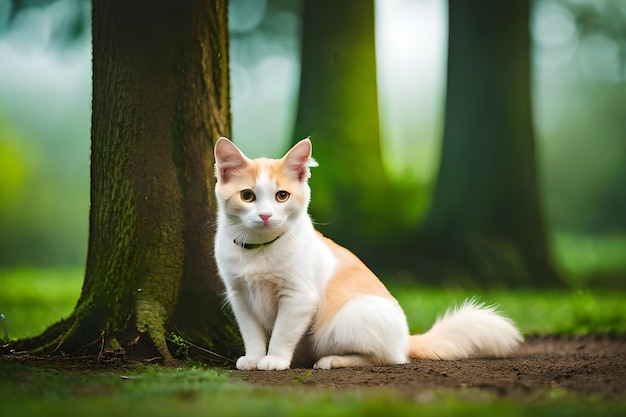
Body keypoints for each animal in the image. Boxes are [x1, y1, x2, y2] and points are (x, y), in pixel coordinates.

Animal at [212, 138, 520, 368]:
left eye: (282, 196)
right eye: (247, 196)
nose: (265, 216)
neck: (258, 250)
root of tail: (407, 337)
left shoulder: (298, 297)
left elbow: (282, 334)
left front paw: (274, 359)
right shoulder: (239, 296)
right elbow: (252, 334)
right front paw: (253, 358)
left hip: (344, 319)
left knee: (387, 358)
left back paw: (331, 360)